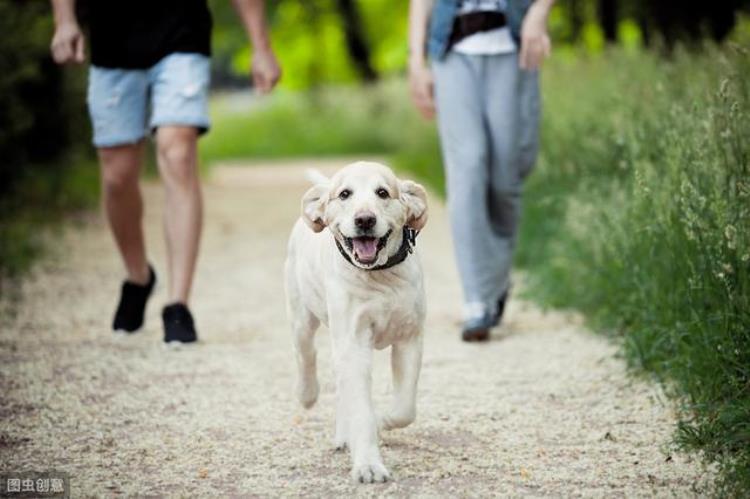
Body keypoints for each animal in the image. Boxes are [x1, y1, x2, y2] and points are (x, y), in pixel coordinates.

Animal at [286, 162, 432, 482]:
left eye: (383, 192)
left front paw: (383, 421)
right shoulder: (353, 343)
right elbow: (362, 412)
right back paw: (306, 394)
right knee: (306, 354)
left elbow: (405, 408)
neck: (380, 277)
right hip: (302, 317)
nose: (365, 219)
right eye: (344, 194)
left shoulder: (409, 339)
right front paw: (368, 465)